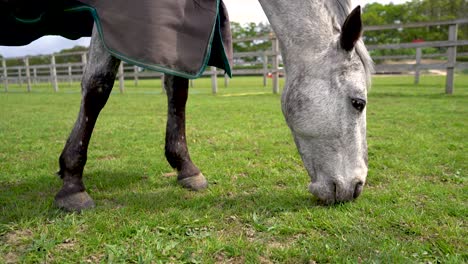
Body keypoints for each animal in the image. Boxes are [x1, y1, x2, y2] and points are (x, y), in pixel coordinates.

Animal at [48, 0, 372, 210]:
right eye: (358, 103)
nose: (356, 188)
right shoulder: (107, 15)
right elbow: (97, 85)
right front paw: (73, 184)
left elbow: (178, 90)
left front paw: (186, 167)